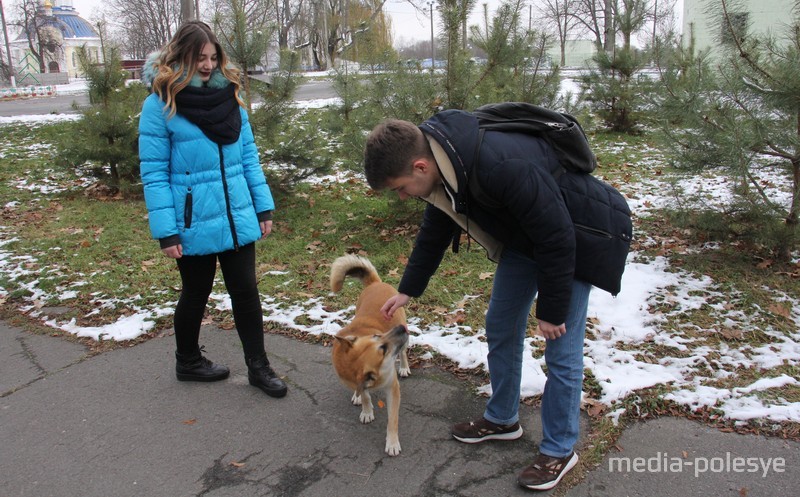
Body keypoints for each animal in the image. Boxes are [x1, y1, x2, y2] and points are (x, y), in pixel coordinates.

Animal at [328, 256, 410, 454]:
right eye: (381, 345)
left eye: (376, 336)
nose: (400, 329)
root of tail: (376, 284)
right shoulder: (356, 381)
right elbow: (365, 395)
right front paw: (366, 409)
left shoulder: (392, 387)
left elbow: (392, 419)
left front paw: (392, 442)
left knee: (404, 351)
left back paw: (404, 367)